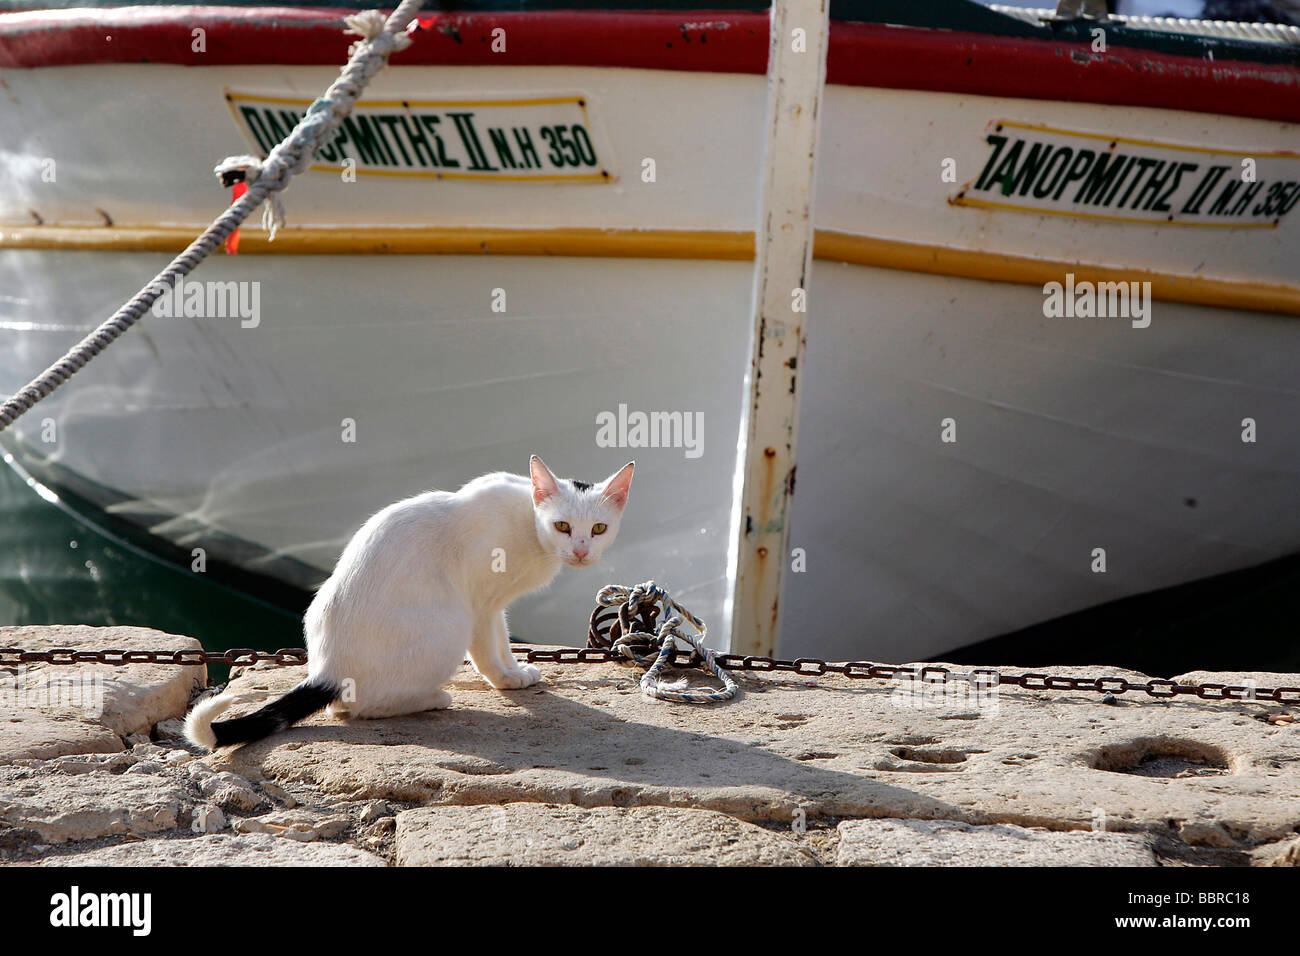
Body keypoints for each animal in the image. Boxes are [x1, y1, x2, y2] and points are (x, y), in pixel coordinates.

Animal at [187, 460, 634, 749]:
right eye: (562, 526)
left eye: (598, 528)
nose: (580, 551)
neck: (529, 524)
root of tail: (328, 671)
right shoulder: (480, 604)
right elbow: (490, 650)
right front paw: (507, 679)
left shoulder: (494, 605)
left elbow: (504, 642)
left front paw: (514, 671)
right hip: (451, 622)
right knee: (361, 706)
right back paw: (432, 698)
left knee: (341, 707)